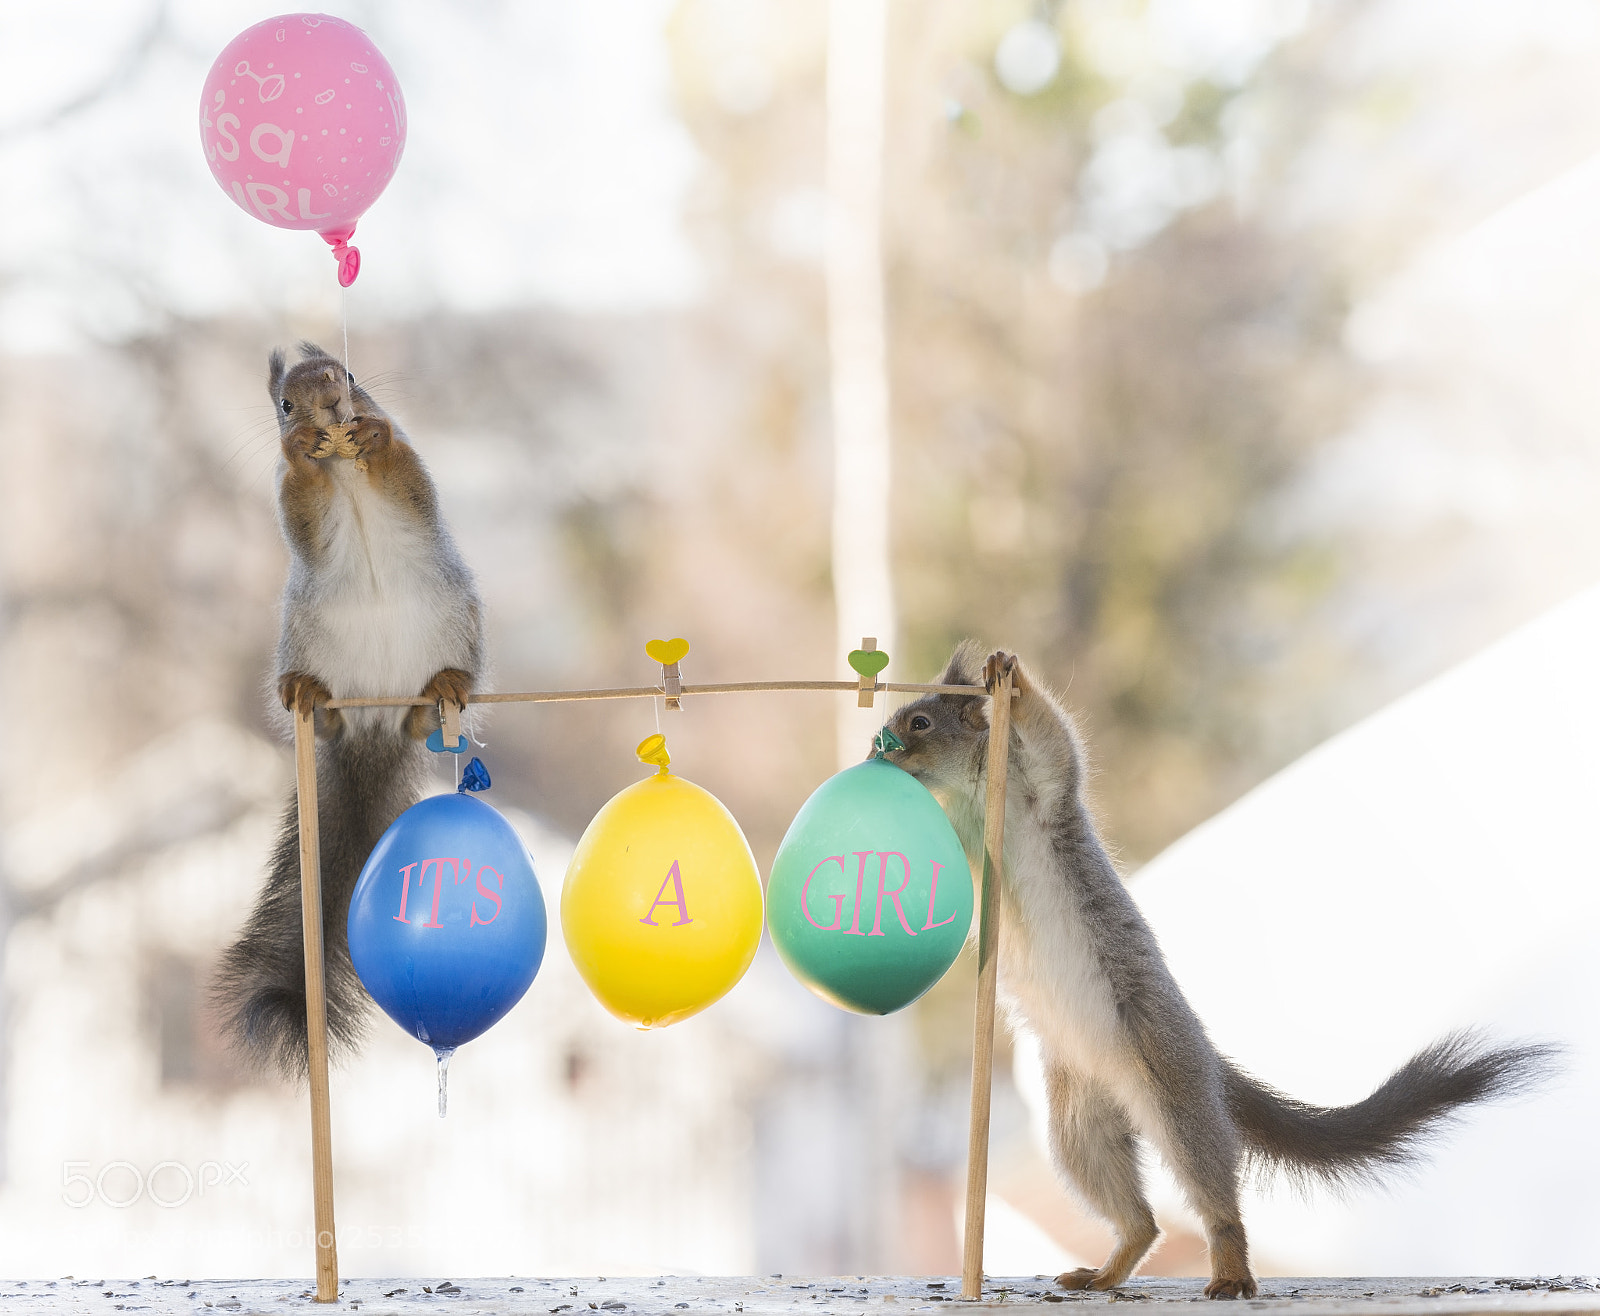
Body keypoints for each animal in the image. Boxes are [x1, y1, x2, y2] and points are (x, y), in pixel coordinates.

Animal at [213, 342, 484, 1081]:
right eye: (284, 404)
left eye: (351, 376)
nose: (332, 407)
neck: (347, 475)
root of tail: (374, 725)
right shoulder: (292, 503)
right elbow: (298, 503)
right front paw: (305, 450)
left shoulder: (414, 487)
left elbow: (411, 479)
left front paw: (374, 436)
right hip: (304, 637)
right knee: (321, 704)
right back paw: (313, 699)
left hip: (458, 626)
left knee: (437, 701)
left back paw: (437, 697)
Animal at [882, 642, 1554, 1300]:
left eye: (920, 722)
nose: (876, 749)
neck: (975, 795)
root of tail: (1205, 1060)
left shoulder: (1042, 790)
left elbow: (1054, 741)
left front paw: (1009, 674)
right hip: (1081, 1122)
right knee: (1139, 1217)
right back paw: (1106, 1270)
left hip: (1171, 1085)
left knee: (1211, 1190)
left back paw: (1230, 1270)